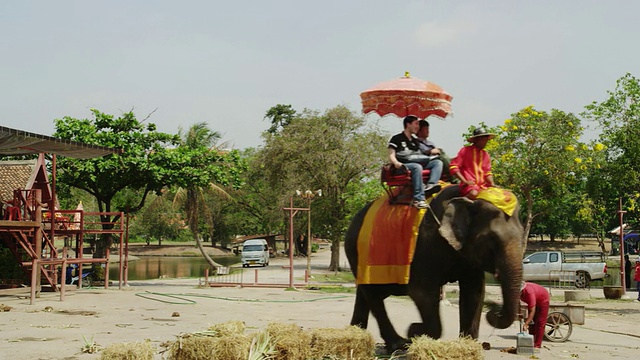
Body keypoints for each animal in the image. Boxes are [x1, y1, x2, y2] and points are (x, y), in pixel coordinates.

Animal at [348, 184, 524, 352]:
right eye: (492, 240)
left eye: (522, 234)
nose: (494, 312)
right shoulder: (425, 245)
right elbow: (422, 292)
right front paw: (414, 330)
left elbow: (474, 291)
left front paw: (467, 344)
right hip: (360, 254)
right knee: (373, 296)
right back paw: (398, 344)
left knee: (365, 293)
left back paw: (356, 333)